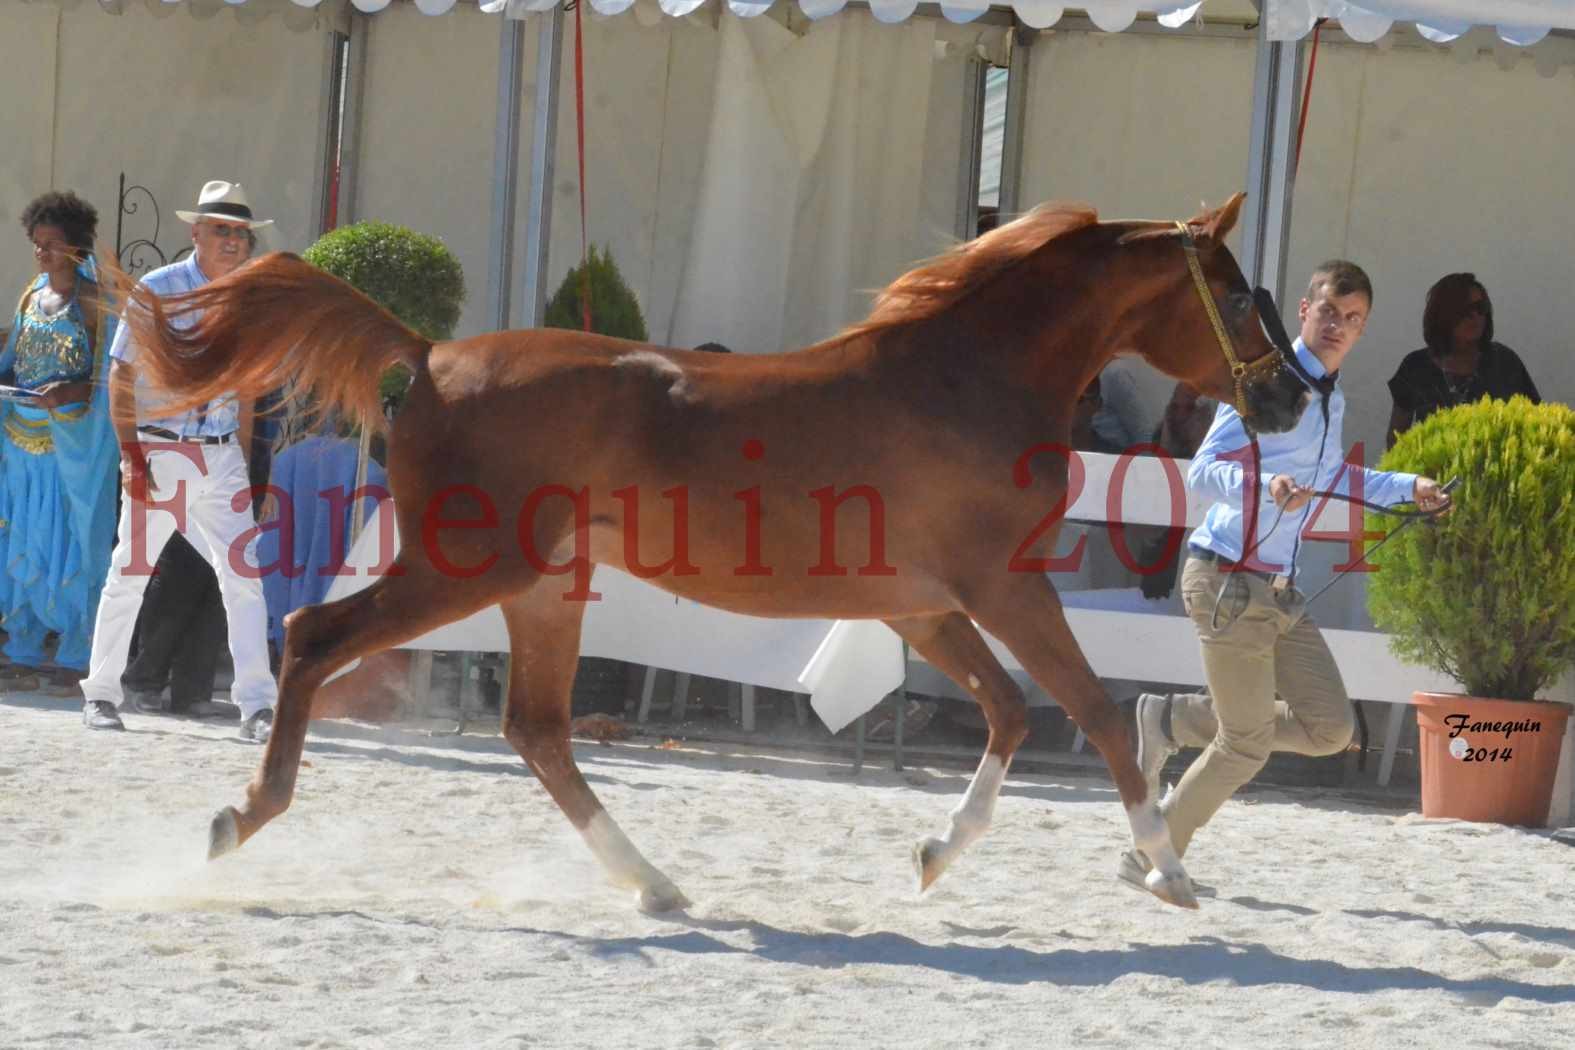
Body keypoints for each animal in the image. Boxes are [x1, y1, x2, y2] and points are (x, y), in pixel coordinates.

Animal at [126, 191, 1304, 913]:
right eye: (1238, 295)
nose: (1291, 396)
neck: (964, 380)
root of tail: (428, 356)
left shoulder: (923, 606)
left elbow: (1013, 713)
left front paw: (932, 856)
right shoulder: (1000, 588)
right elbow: (1095, 713)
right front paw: (1168, 874)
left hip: (543, 588)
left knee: (537, 729)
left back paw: (655, 883)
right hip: (465, 570)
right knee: (314, 636)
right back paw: (240, 817)